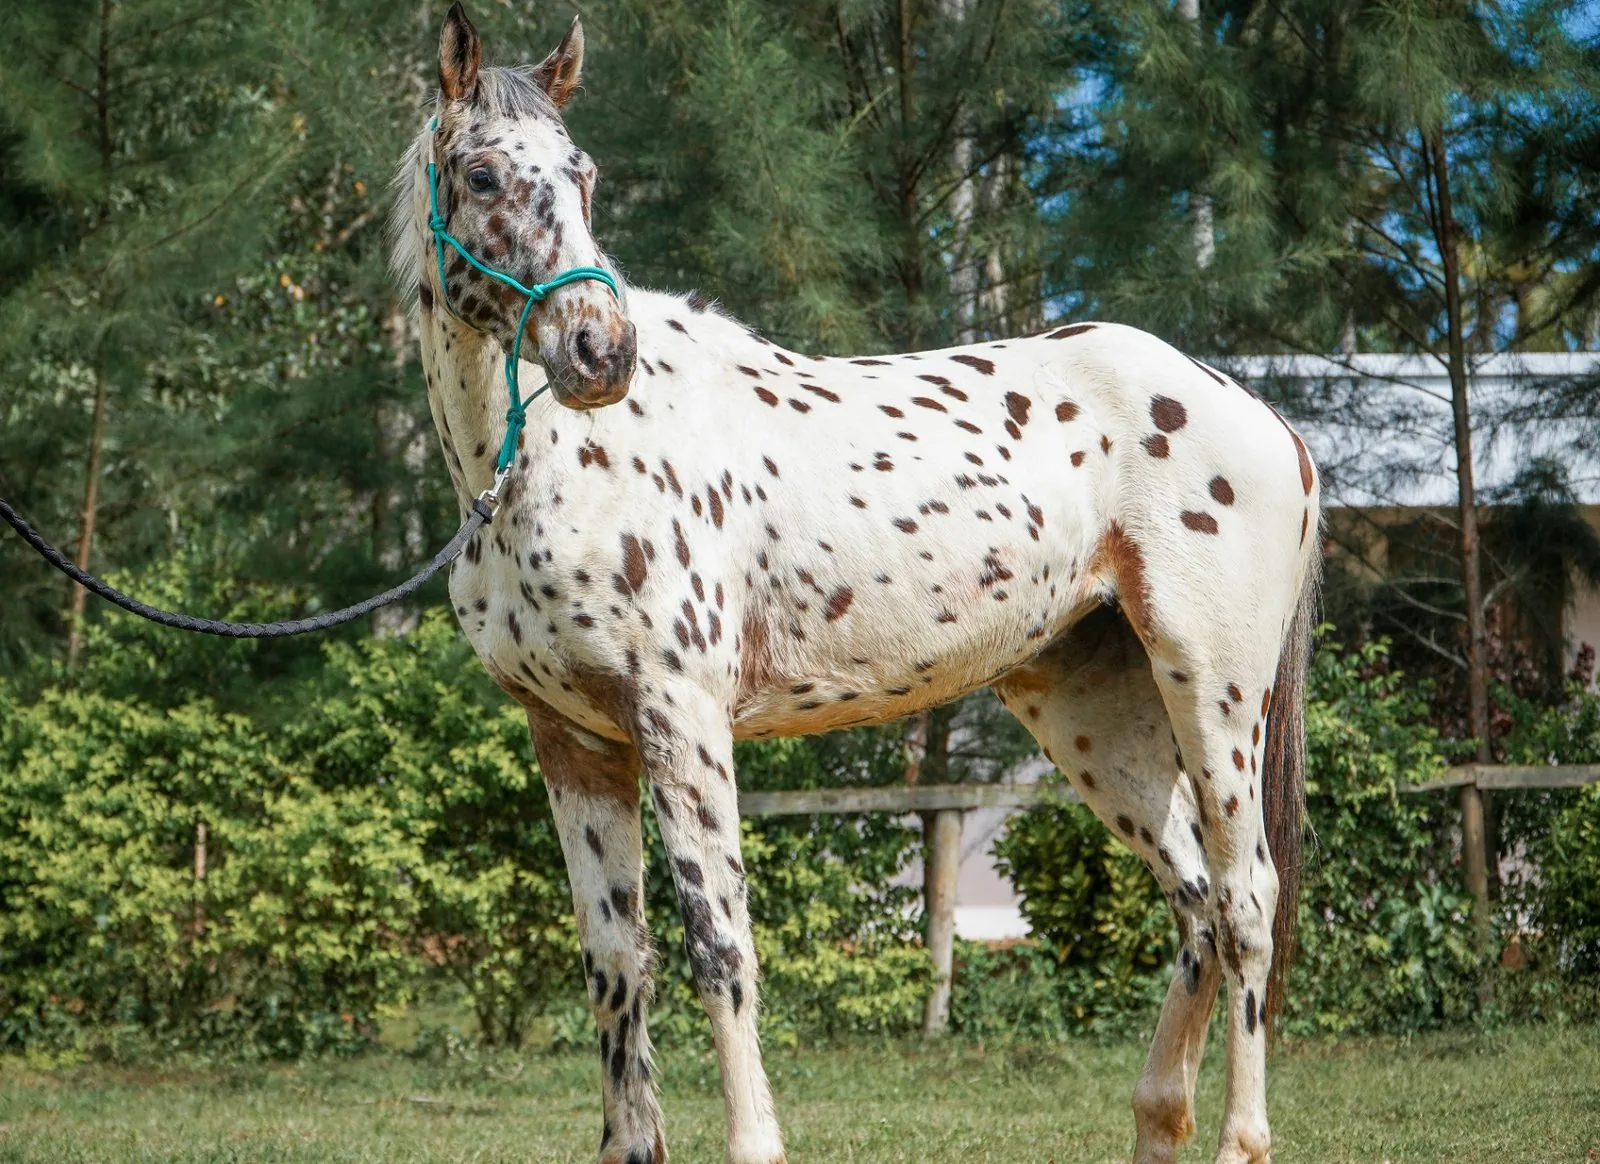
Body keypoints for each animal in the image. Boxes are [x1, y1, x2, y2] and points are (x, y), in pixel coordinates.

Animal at [390, 6, 1321, 1162]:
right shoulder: (574, 742)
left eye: (583, 173)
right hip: (1091, 710)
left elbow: (720, 949)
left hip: (1214, 689)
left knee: (1245, 901)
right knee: (1192, 901)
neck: (552, 467)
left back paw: (1241, 1132)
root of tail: (1258, 413)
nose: (600, 351)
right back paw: (1161, 1116)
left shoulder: (681, 721)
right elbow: (616, 963)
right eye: (479, 174)